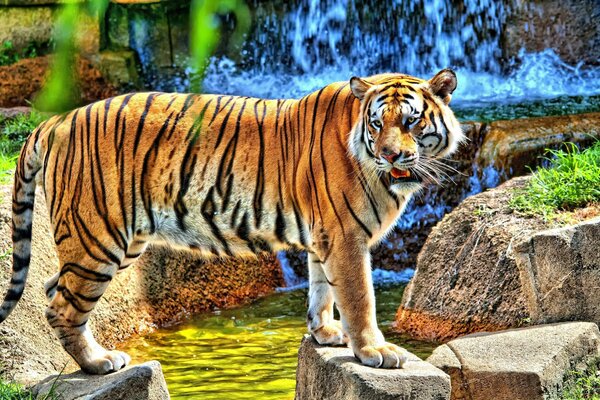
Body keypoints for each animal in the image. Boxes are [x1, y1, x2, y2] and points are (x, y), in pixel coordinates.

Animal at [0, 68, 464, 376]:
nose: (389, 154)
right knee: (62, 307)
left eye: (411, 121)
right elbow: (358, 297)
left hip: (111, 241)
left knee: (52, 288)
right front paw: (374, 351)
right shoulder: (345, 236)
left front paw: (325, 333)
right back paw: (99, 362)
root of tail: (57, 119)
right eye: (377, 123)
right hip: (98, 238)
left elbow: (321, 288)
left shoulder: (325, 236)